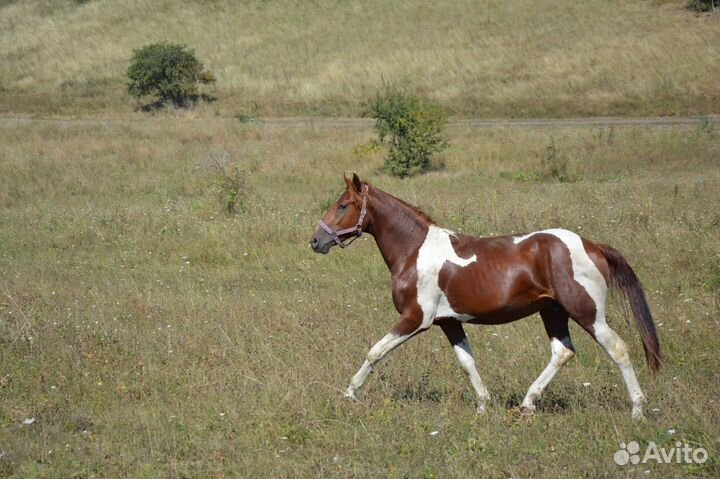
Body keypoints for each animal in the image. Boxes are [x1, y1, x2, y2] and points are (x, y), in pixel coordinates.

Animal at [310, 174, 661, 419]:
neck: (414, 251)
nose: (316, 241)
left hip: (587, 313)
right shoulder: (449, 322)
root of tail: (593, 246)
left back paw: (637, 410)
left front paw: (350, 394)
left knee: (618, 349)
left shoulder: (415, 319)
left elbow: (375, 352)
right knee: (562, 352)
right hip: (552, 311)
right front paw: (483, 405)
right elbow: (467, 362)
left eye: (343, 205)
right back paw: (526, 404)